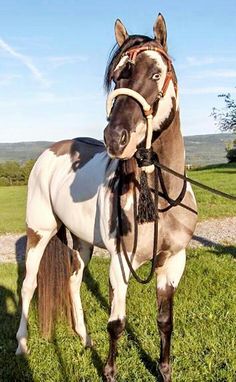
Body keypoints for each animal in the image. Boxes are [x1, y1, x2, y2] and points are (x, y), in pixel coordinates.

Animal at [15, 13, 197, 380]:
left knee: (72, 282)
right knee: (28, 286)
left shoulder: (173, 261)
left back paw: (85, 339)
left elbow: (165, 321)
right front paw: (110, 371)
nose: (115, 137)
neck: (160, 197)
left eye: (156, 73)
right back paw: (22, 345)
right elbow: (116, 323)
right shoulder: (119, 263)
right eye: (116, 77)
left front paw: (165, 370)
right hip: (39, 233)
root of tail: (50, 151)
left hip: (81, 241)